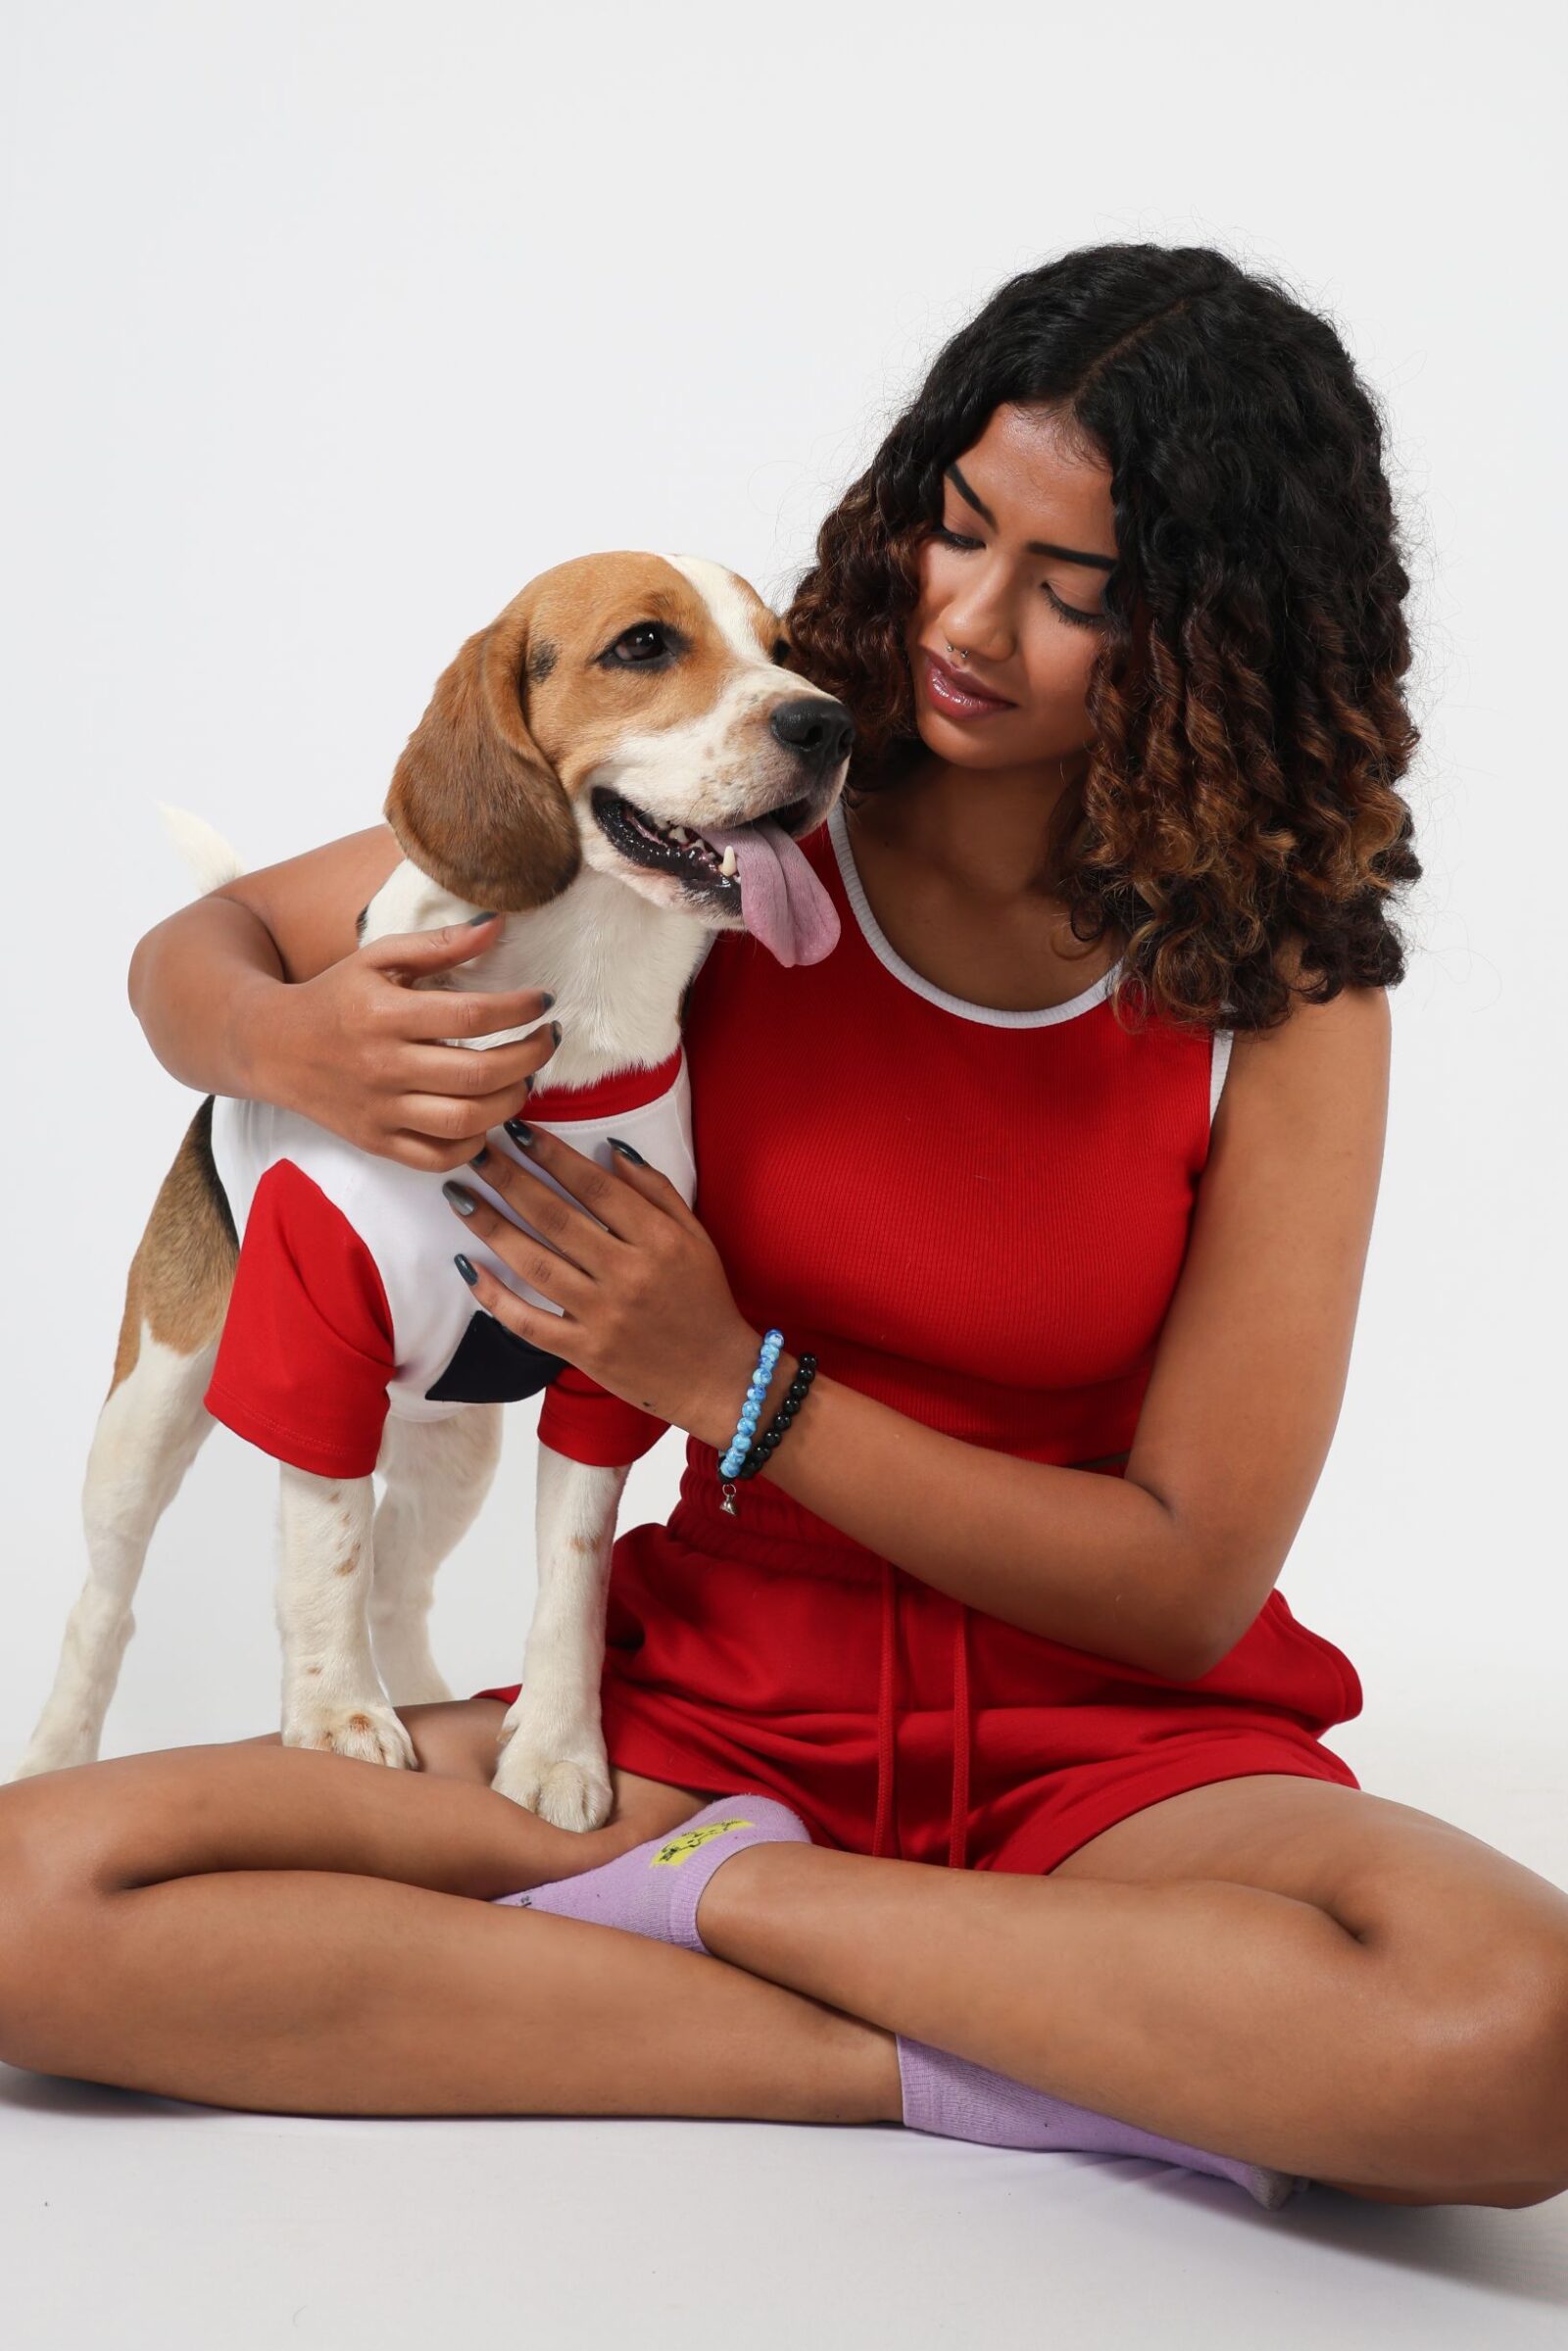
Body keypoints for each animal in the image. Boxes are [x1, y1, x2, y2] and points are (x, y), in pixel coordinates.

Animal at [12, 559, 851, 1824]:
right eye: (644, 644)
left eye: (784, 646)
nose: (827, 723)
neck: (576, 1004)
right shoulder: (310, 1336)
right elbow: (325, 1545)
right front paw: (334, 1718)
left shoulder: (613, 1360)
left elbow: (570, 1575)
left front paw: (554, 1748)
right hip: (147, 1413)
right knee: (106, 1604)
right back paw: (58, 1756)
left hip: (457, 1445)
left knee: (399, 1585)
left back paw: (419, 1689)